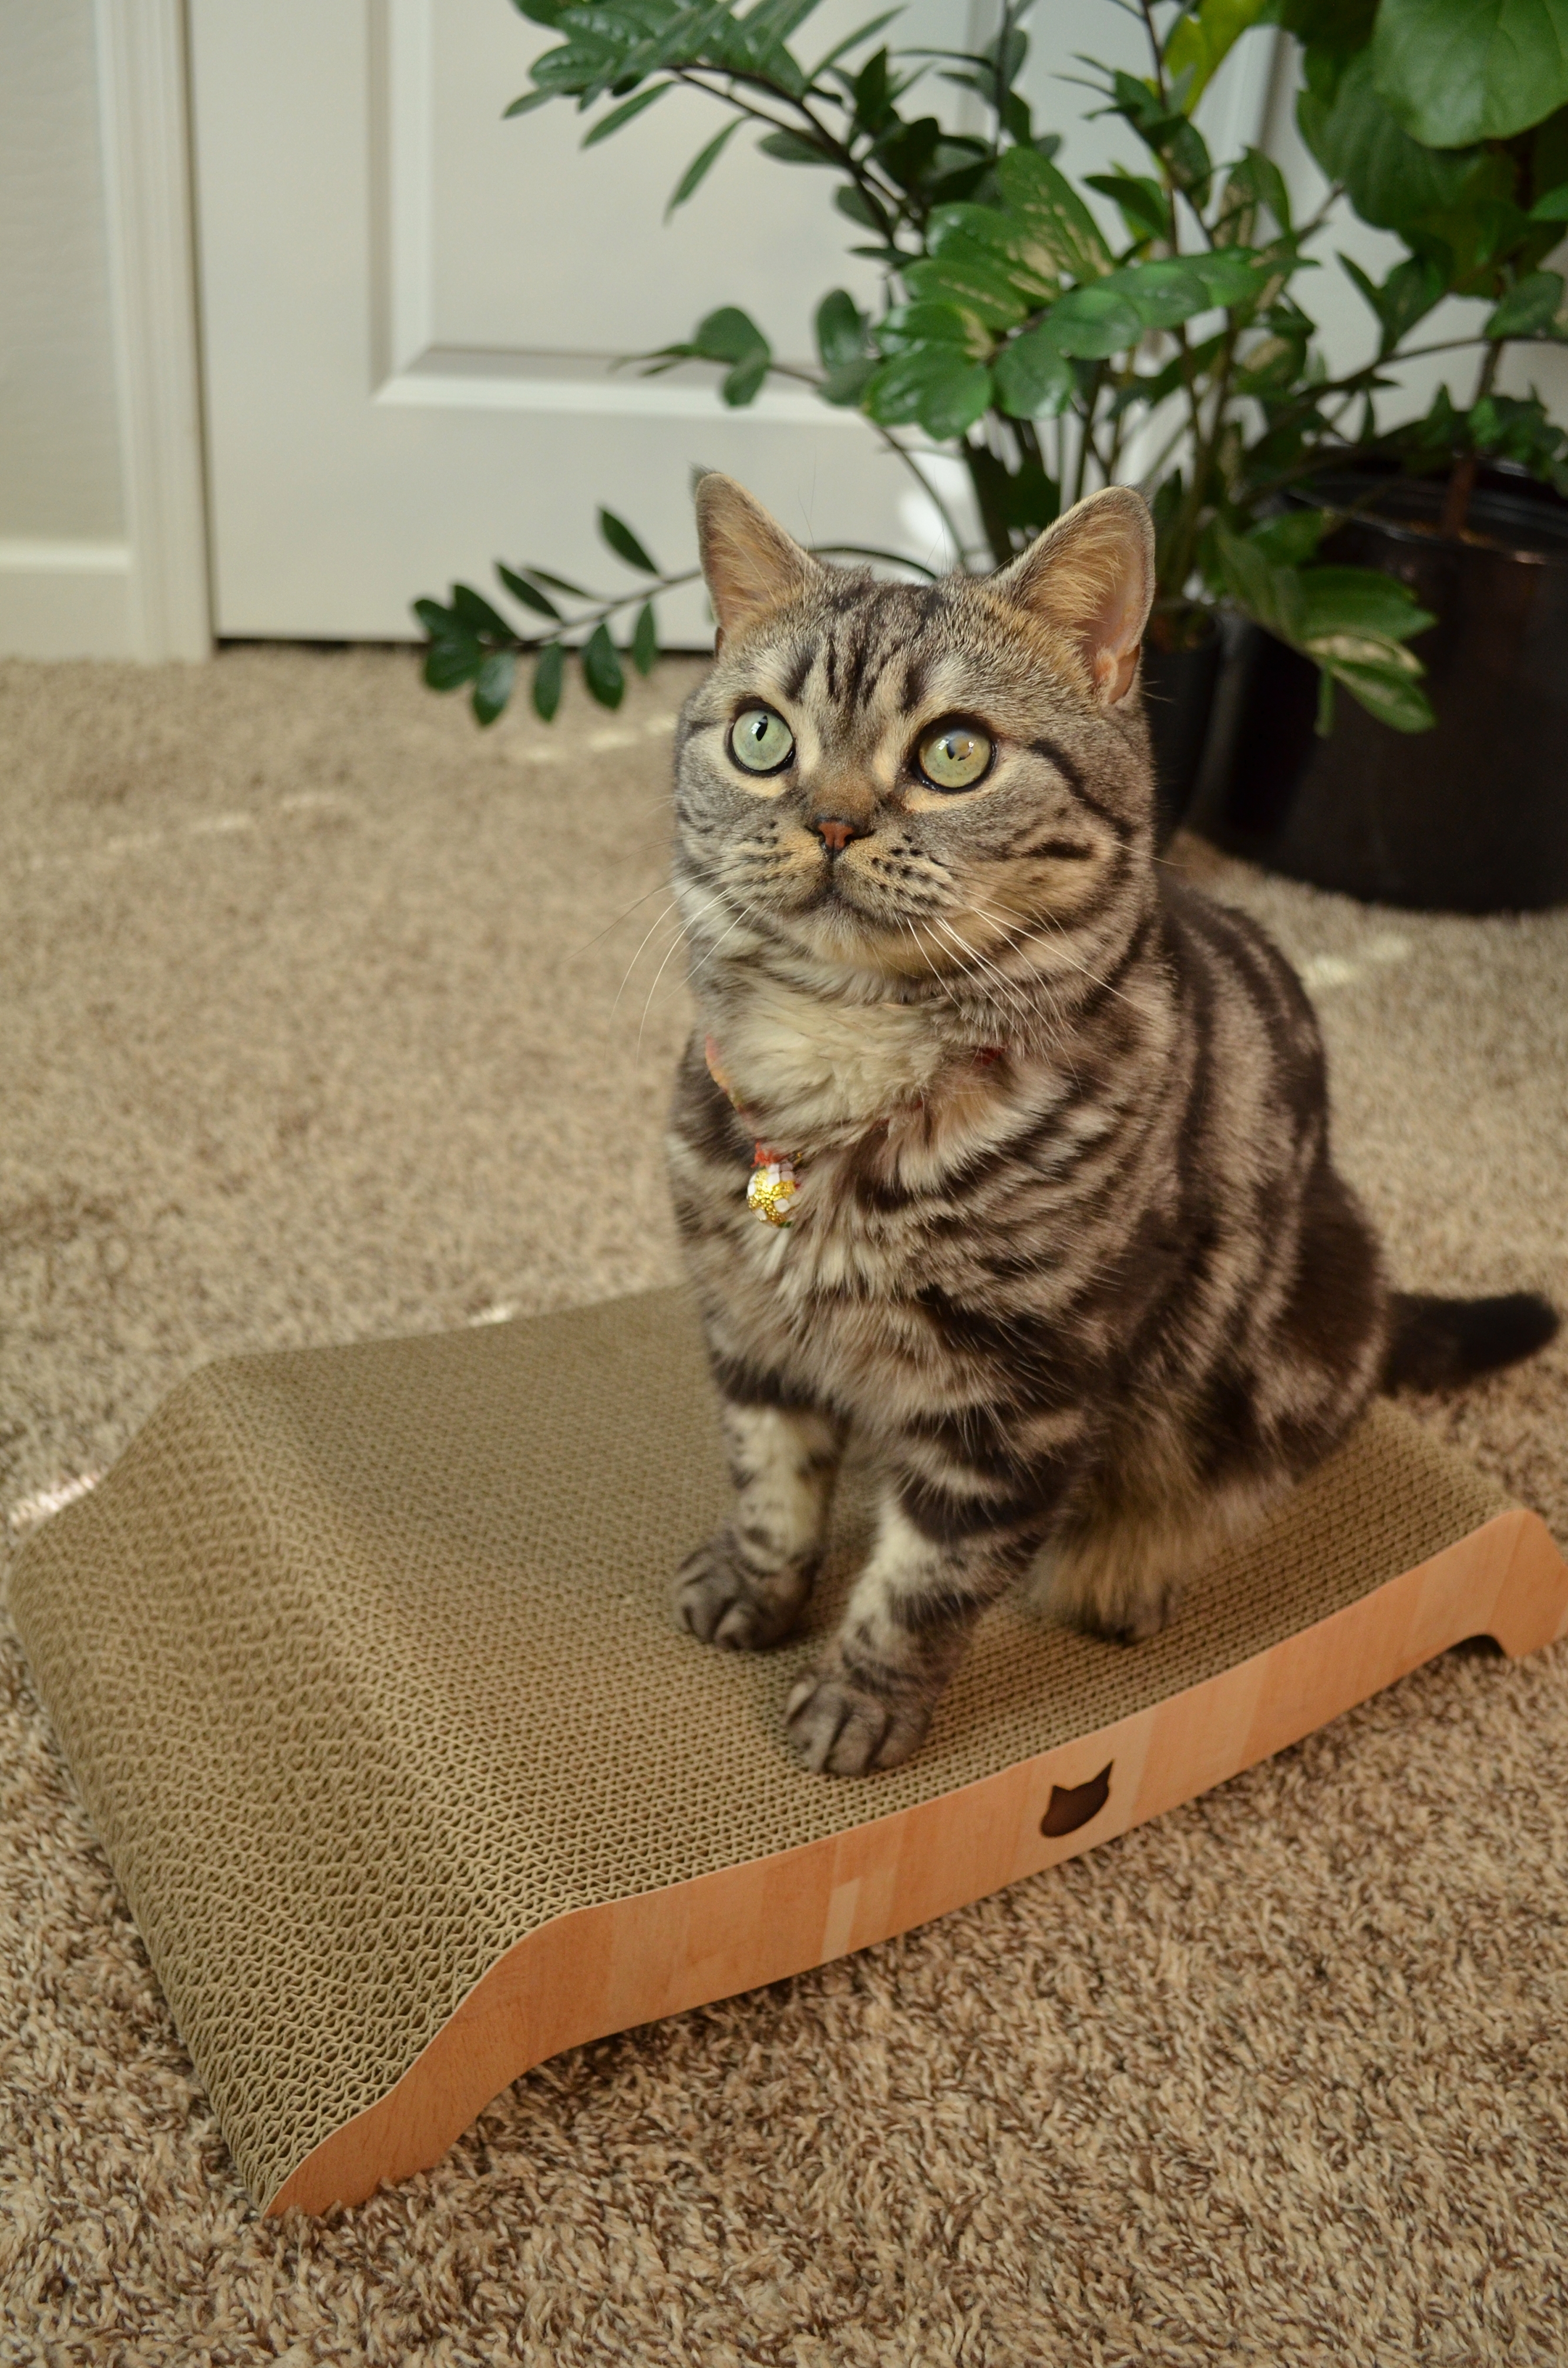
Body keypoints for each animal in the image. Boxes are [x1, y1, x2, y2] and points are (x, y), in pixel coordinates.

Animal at [668, 466, 1563, 1781]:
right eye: (762, 736)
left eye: (954, 753)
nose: (830, 821)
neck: (846, 1057)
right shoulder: (748, 1321)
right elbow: (770, 1479)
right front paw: (755, 1582)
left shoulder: (1022, 1391)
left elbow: (925, 1578)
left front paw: (862, 1697)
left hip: (1305, 1318)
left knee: (1238, 1474)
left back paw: (1124, 1563)